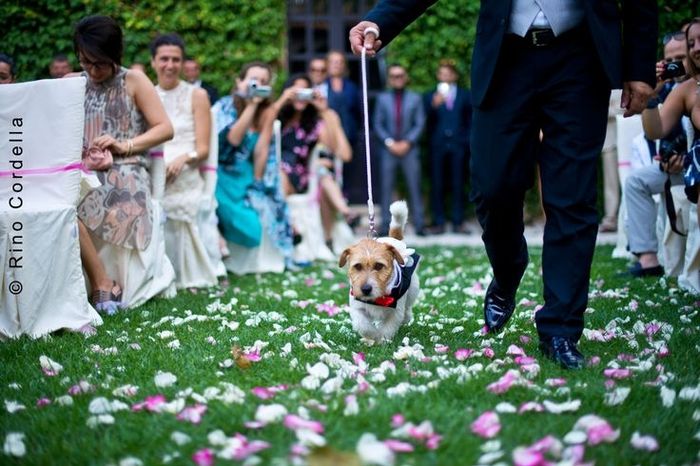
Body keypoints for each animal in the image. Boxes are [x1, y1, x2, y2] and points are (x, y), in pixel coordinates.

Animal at [340, 200, 422, 342]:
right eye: (357, 266)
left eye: (379, 266)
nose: (366, 289)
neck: (378, 298)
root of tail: (393, 239)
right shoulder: (357, 308)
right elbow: (364, 325)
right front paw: (371, 337)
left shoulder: (395, 312)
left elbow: (387, 328)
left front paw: (381, 340)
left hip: (413, 290)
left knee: (408, 309)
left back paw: (406, 318)